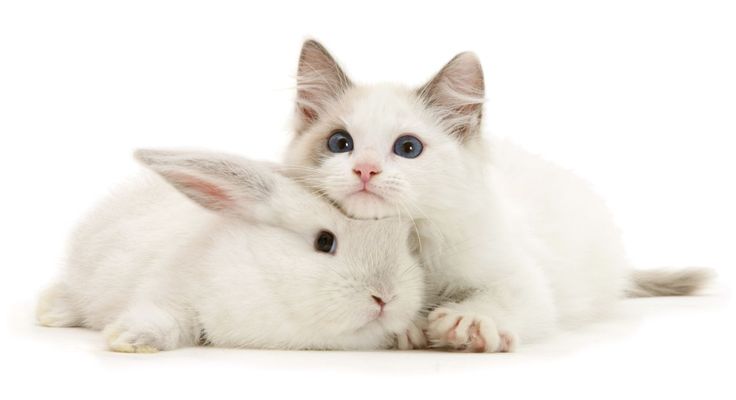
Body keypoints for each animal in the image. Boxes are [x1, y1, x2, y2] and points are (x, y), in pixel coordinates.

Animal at [36, 148, 426, 352]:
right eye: (324, 241)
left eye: (406, 244)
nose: (385, 297)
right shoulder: (173, 290)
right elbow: (166, 317)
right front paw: (130, 339)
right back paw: (50, 312)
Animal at [284, 39, 712, 354]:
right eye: (340, 143)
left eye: (408, 148)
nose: (365, 170)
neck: (410, 238)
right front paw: (409, 324)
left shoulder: (526, 279)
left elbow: (502, 297)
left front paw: (468, 320)